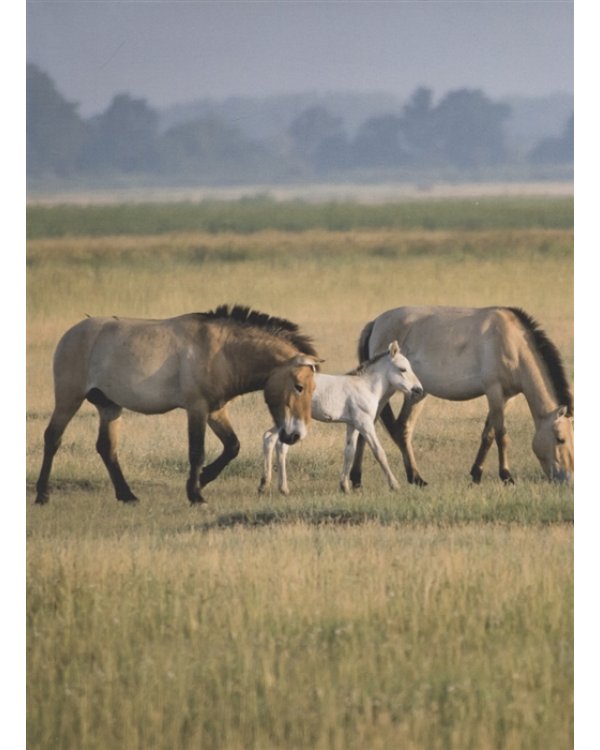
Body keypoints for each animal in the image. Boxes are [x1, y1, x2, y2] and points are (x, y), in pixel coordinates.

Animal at [35, 305, 323, 505]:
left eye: (313, 389)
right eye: (299, 386)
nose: (294, 435)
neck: (222, 352)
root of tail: (71, 333)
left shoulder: (216, 410)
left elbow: (232, 447)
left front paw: (202, 480)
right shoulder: (196, 408)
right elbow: (197, 452)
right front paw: (196, 493)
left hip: (110, 407)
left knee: (107, 448)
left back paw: (127, 495)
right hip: (69, 398)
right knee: (53, 438)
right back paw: (42, 495)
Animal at [259, 341, 423, 494]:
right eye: (402, 369)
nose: (418, 390)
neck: (366, 386)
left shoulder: (353, 424)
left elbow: (349, 452)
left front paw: (344, 486)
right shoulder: (365, 424)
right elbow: (379, 452)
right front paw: (394, 485)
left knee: (269, 438)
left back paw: (265, 485)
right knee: (281, 445)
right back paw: (283, 488)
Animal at [348, 306, 573, 488]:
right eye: (560, 439)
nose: (568, 479)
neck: (513, 344)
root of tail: (375, 323)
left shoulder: (507, 398)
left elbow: (488, 434)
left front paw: (476, 475)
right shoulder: (494, 391)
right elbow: (501, 435)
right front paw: (507, 477)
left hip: (416, 395)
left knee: (403, 429)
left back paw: (416, 478)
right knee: (367, 429)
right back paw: (356, 479)